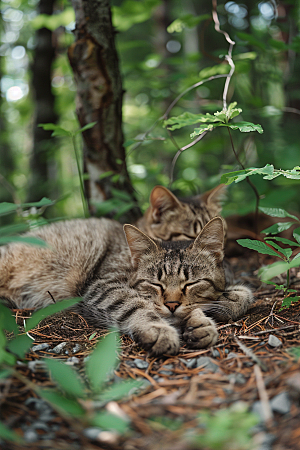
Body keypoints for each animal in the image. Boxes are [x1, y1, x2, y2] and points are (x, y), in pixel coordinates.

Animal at [0, 211, 253, 356]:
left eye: (191, 283)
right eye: (155, 284)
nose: (172, 305)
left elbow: (245, 295)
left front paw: (206, 317)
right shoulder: (102, 287)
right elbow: (135, 305)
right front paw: (159, 329)